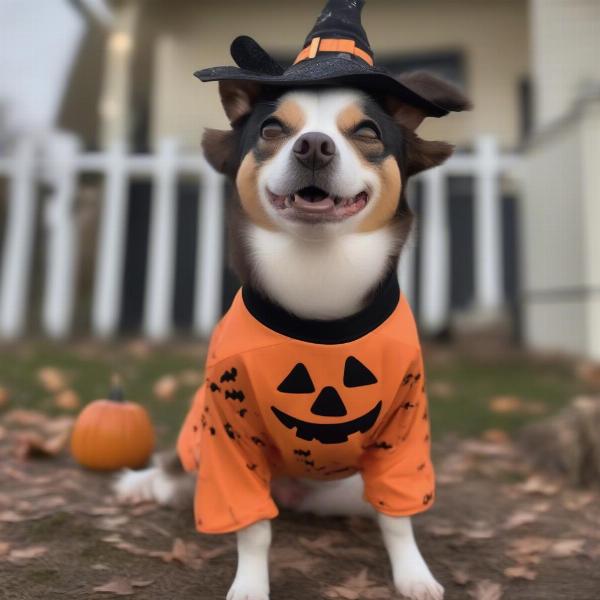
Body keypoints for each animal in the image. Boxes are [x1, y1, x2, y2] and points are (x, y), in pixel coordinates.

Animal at [113, 2, 468, 596]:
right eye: (273, 129)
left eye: (366, 132)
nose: (314, 145)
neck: (318, 278)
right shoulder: (229, 437)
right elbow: (253, 529)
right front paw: (250, 585)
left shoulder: (404, 432)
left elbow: (398, 519)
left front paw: (414, 575)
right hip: (199, 456)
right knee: (176, 477)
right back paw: (142, 483)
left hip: (346, 490)